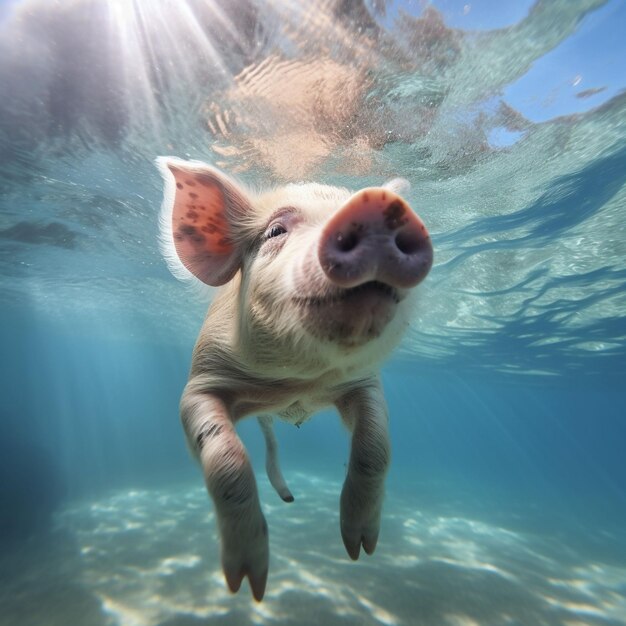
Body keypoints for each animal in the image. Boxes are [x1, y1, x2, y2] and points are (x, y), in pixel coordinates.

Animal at [156, 157, 432, 600]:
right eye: (275, 231)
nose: (376, 202)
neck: (299, 384)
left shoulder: (364, 383)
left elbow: (375, 448)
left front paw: (360, 549)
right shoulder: (201, 381)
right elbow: (228, 462)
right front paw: (247, 585)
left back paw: (290, 498)